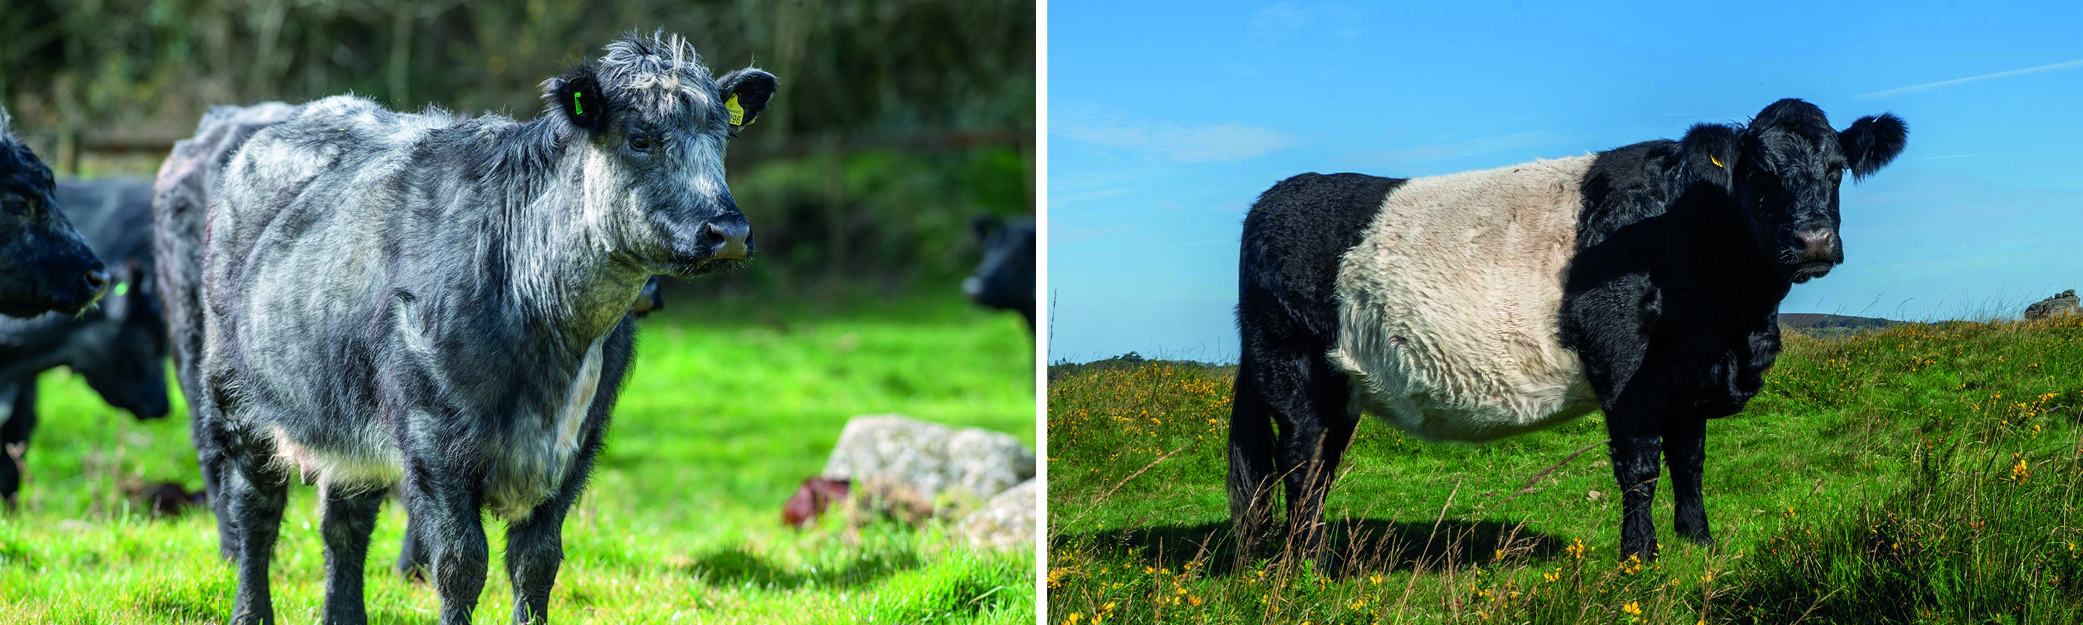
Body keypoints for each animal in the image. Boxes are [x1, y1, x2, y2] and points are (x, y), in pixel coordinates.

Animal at [168, 33, 776, 624]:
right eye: (641, 139)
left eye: (721, 138)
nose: (730, 232)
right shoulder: (432, 441)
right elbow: (460, 564)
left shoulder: (579, 444)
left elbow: (536, 563)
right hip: (234, 398)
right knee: (255, 515)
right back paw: (250, 611)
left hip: (346, 413)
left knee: (345, 522)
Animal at [1227, 99, 1907, 569]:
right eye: (1760, 172)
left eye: (1838, 169)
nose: (1814, 241)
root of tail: (1272, 197)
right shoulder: (1630, 374)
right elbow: (1640, 467)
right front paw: (1641, 558)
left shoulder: (1691, 376)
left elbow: (1690, 462)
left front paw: (1699, 543)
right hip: (1291, 369)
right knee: (1299, 465)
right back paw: (1313, 567)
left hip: (1338, 389)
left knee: (1317, 469)